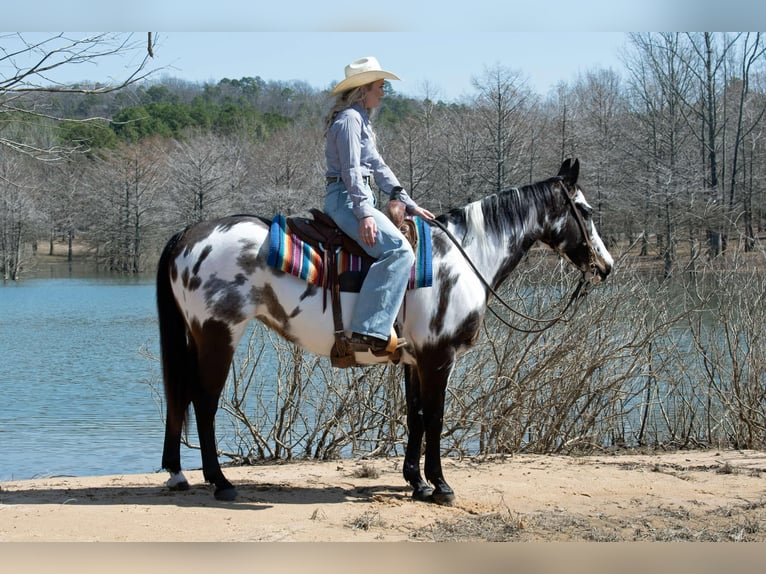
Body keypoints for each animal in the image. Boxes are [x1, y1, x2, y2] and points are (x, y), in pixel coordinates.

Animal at [156, 158, 613, 504]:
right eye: (586, 210)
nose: (606, 266)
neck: (463, 258)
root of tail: (188, 235)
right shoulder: (438, 358)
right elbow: (436, 417)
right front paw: (440, 485)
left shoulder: (415, 359)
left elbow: (415, 416)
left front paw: (416, 481)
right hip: (218, 336)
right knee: (203, 402)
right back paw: (220, 482)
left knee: (182, 398)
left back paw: (179, 474)